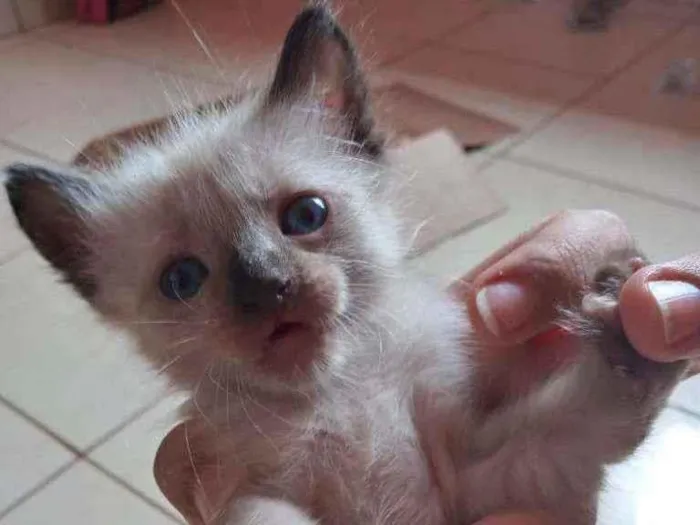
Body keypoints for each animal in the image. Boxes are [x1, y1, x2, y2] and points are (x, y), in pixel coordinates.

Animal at [1, 4, 688, 524]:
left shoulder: (495, 478)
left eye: (305, 216)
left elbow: (594, 412)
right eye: (182, 280)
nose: (268, 289)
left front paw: (627, 320)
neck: (344, 396)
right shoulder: (249, 490)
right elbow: (263, 515)